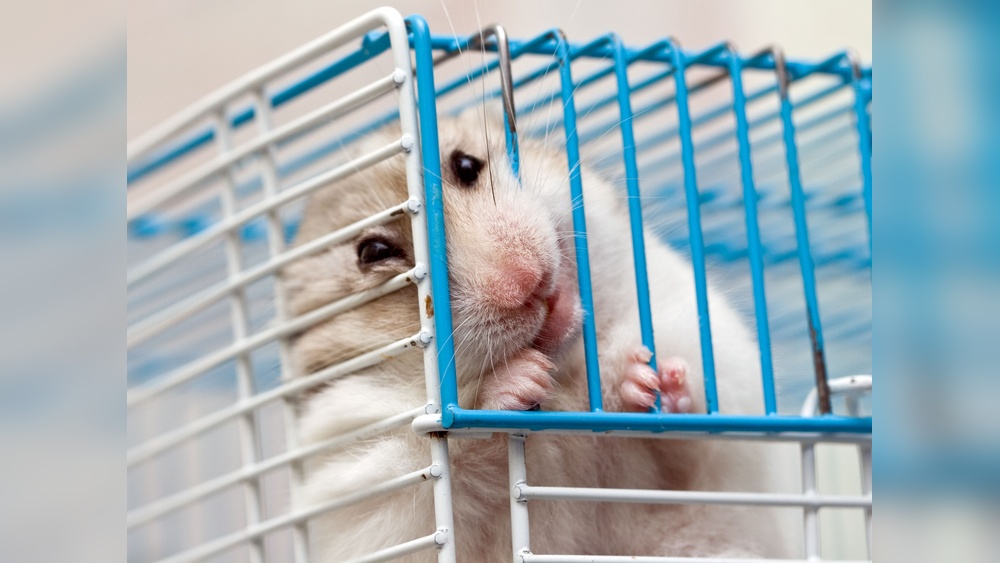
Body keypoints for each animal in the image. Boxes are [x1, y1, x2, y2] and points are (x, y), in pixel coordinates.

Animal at [285, 110, 799, 561]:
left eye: (467, 165)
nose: (526, 281)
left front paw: (647, 379)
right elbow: (459, 454)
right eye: (374, 251)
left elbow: (692, 423)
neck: (566, 374)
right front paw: (524, 380)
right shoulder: (371, 485)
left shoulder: (705, 339)